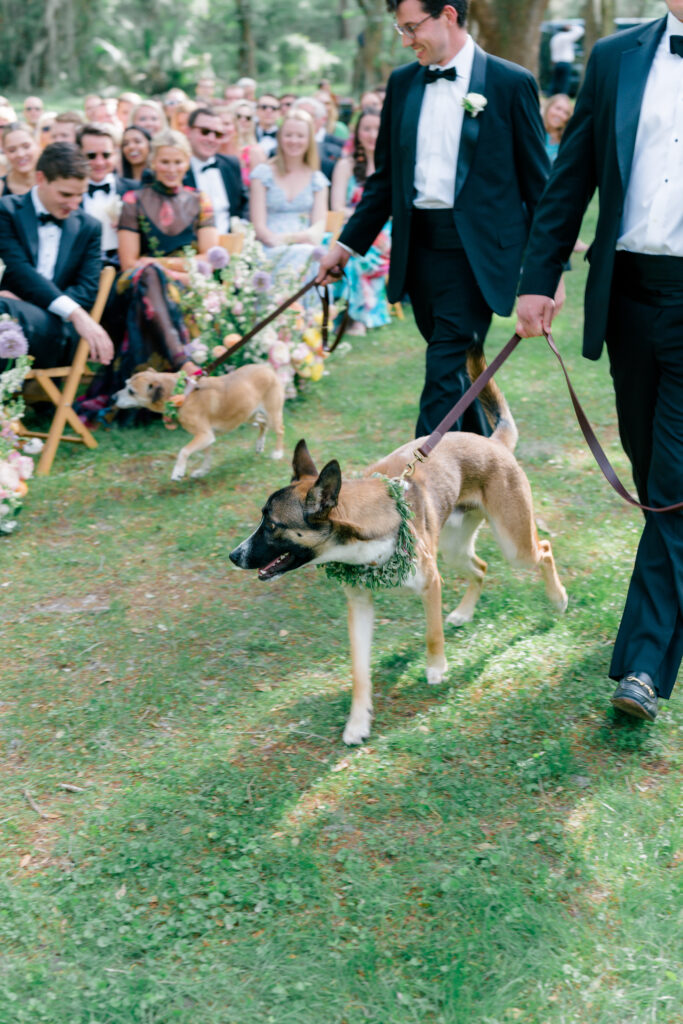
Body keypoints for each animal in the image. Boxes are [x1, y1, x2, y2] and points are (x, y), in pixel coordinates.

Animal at [229, 352, 565, 745]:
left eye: (272, 526)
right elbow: (359, 671)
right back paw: (464, 612)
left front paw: (436, 668)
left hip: (514, 544)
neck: (365, 533)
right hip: (454, 548)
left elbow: (432, 634)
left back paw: (558, 599)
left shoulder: (430, 583)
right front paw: (358, 721)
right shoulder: (359, 606)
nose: (234, 555)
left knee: (544, 549)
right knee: (481, 568)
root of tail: (494, 442)